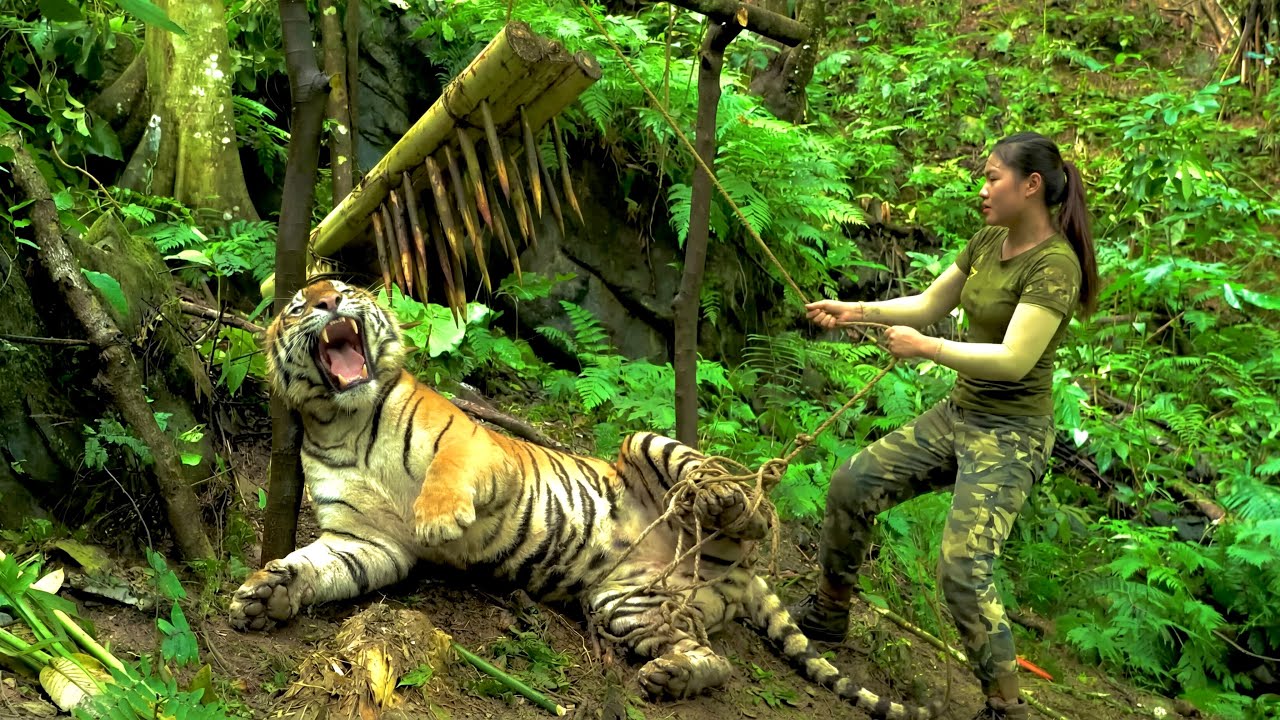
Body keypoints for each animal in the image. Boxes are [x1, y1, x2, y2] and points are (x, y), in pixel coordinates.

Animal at [229, 278, 940, 720]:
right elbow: (321, 567)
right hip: (627, 603)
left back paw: (725, 501)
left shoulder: (474, 443)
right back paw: (673, 677)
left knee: (749, 504)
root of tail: (739, 574)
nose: (327, 300)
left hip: (645, 442)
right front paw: (264, 596)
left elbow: (446, 473)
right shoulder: (365, 541)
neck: (343, 419)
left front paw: (438, 517)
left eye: (346, 291)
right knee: (714, 660)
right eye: (298, 307)